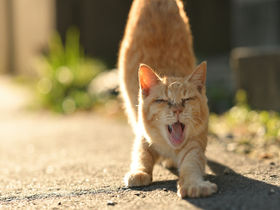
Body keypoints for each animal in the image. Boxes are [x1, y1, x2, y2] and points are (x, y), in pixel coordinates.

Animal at [117, 0, 218, 198]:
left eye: (187, 99)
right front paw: (138, 172)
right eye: (163, 101)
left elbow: (191, 165)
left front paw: (195, 185)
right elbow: (141, 155)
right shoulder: (143, 134)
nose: (177, 109)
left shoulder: (195, 145)